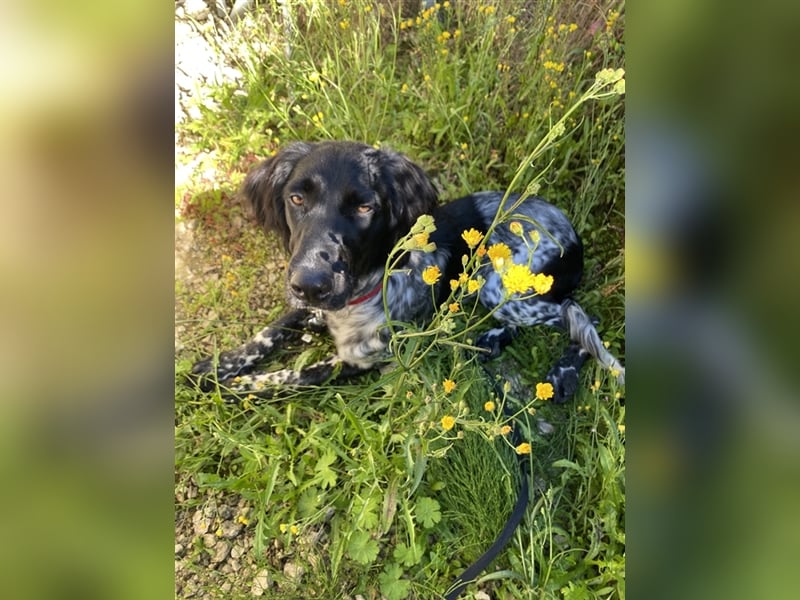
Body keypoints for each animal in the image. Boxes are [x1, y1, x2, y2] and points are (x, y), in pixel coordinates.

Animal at [194, 141, 624, 404]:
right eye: (296, 198)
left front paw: (236, 386)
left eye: (364, 207)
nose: (311, 284)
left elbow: (288, 376)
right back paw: (491, 340)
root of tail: (572, 234)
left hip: (498, 284)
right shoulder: (310, 305)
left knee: (579, 316)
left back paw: (562, 373)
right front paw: (220, 365)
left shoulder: (362, 358)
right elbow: (272, 329)